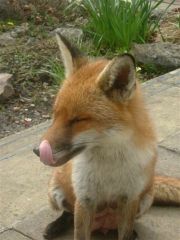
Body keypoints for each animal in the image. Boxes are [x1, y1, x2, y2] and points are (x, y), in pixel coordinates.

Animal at [33, 34, 179, 240]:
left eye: (78, 120)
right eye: (55, 115)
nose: (37, 151)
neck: (109, 165)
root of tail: (101, 225)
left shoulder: (129, 198)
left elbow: (124, 233)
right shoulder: (84, 199)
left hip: (145, 200)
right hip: (55, 193)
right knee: (68, 214)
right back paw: (55, 226)